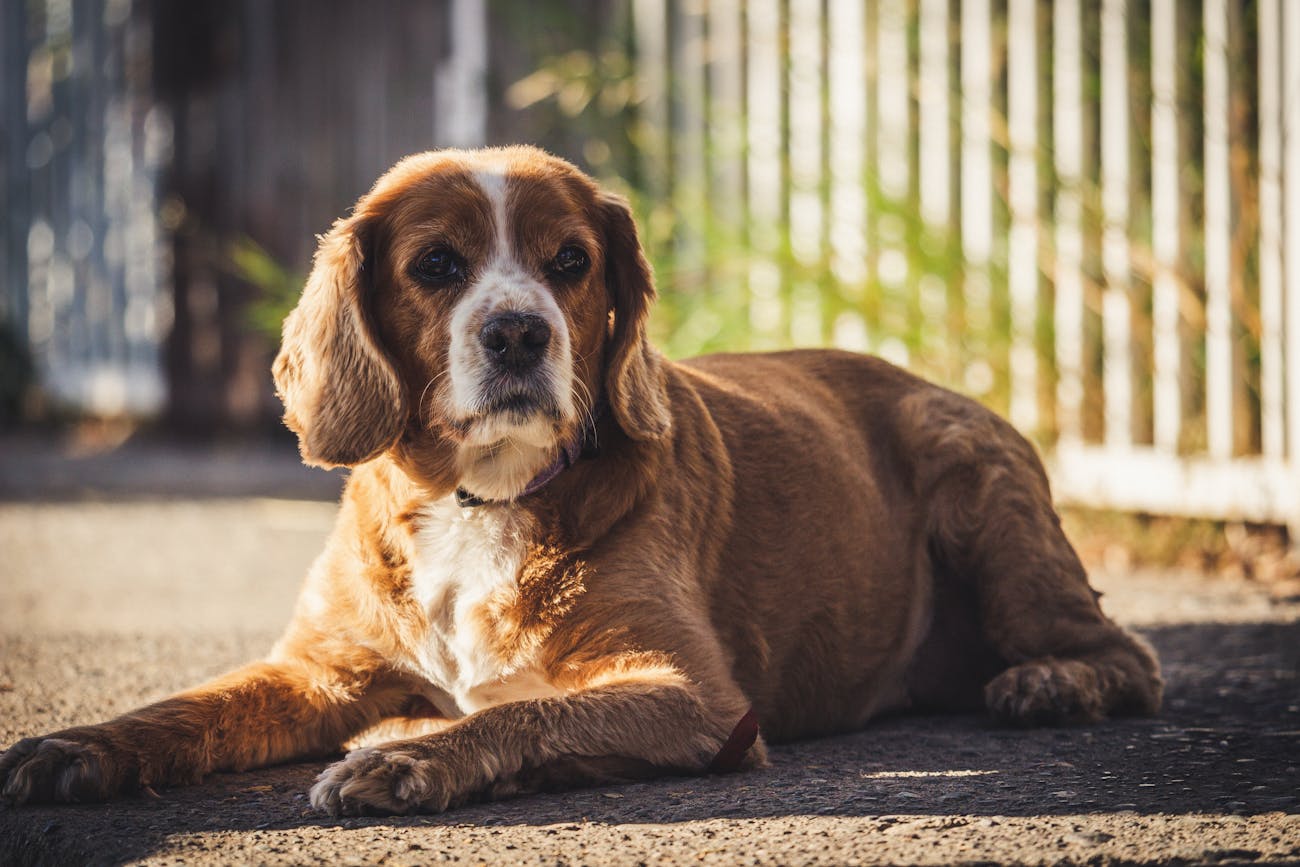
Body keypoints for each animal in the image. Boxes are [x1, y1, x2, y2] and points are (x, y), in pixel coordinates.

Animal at [0, 145, 1164, 816]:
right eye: (435, 265)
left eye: (571, 262)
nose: (519, 331)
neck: (476, 501)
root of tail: (927, 383)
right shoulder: (318, 673)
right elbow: (182, 709)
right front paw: (76, 745)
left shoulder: (696, 698)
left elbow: (525, 716)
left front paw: (409, 756)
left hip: (981, 496)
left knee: (1129, 654)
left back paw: (1047, 683)